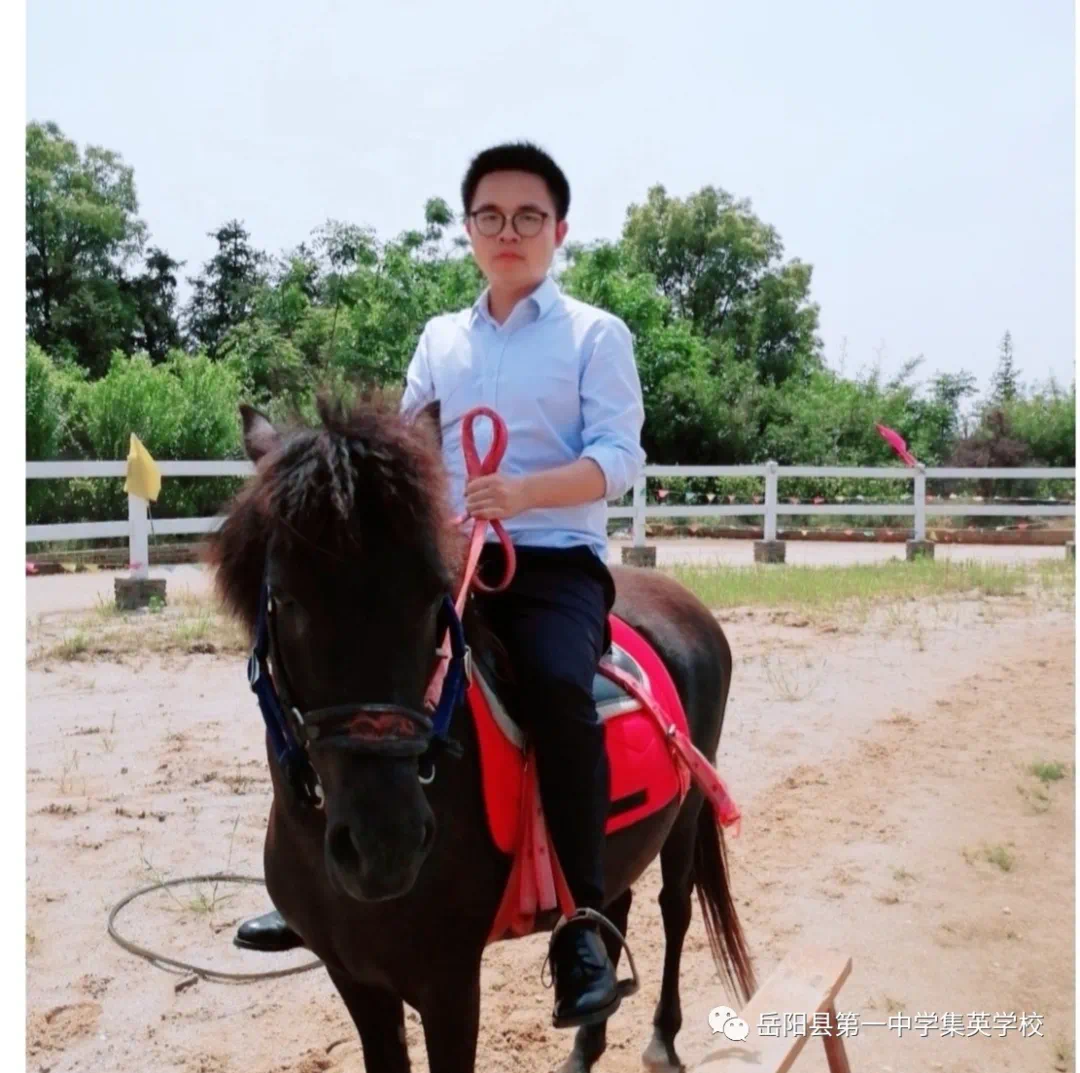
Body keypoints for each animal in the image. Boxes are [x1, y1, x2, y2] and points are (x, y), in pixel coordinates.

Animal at [205, 391, 756, 1073]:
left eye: (433, 598)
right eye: (284, 600)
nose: (385, 844)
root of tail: (688, 606)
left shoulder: (448, 983)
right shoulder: (356, 980)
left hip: (686, 815)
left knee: (674, 907)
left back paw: (660, 1038)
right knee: (615, 904)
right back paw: (586, 1039)